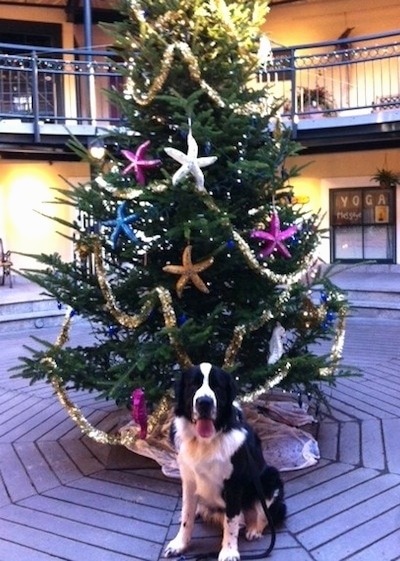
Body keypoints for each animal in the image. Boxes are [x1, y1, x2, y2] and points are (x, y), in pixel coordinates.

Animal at [164, 360, 286, 556]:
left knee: (266, 513)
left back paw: (254, 529)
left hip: (270, 477)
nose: (204, 402)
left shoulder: (233, 484)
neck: (205, 441)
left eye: (217, 386)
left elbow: (231, 522)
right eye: (193, 384)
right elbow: (187, 515)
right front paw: (180, 544)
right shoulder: (189, 479)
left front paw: (229, 552)